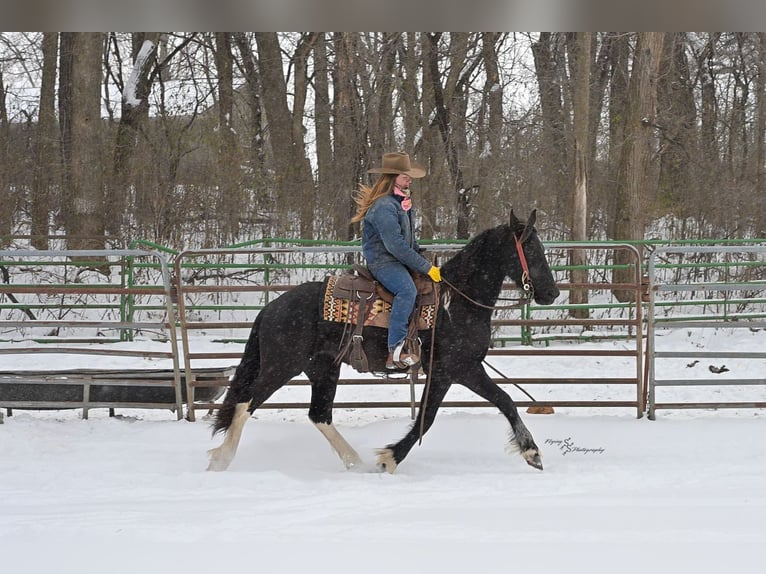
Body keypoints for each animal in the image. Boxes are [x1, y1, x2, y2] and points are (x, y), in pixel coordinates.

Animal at [207, 210, 560, 473]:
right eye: (532, 249)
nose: (552, 293)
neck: (456, 303)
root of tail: (270, 308)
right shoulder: (459, 369)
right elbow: (497, 402)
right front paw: (532, 453)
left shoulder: (447, 373)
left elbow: (436, 415)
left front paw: (388, 458)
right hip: (281, 366)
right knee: (245, 403)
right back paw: (220, 459)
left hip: (322, 369)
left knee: (319, 414)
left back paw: (355, 463)